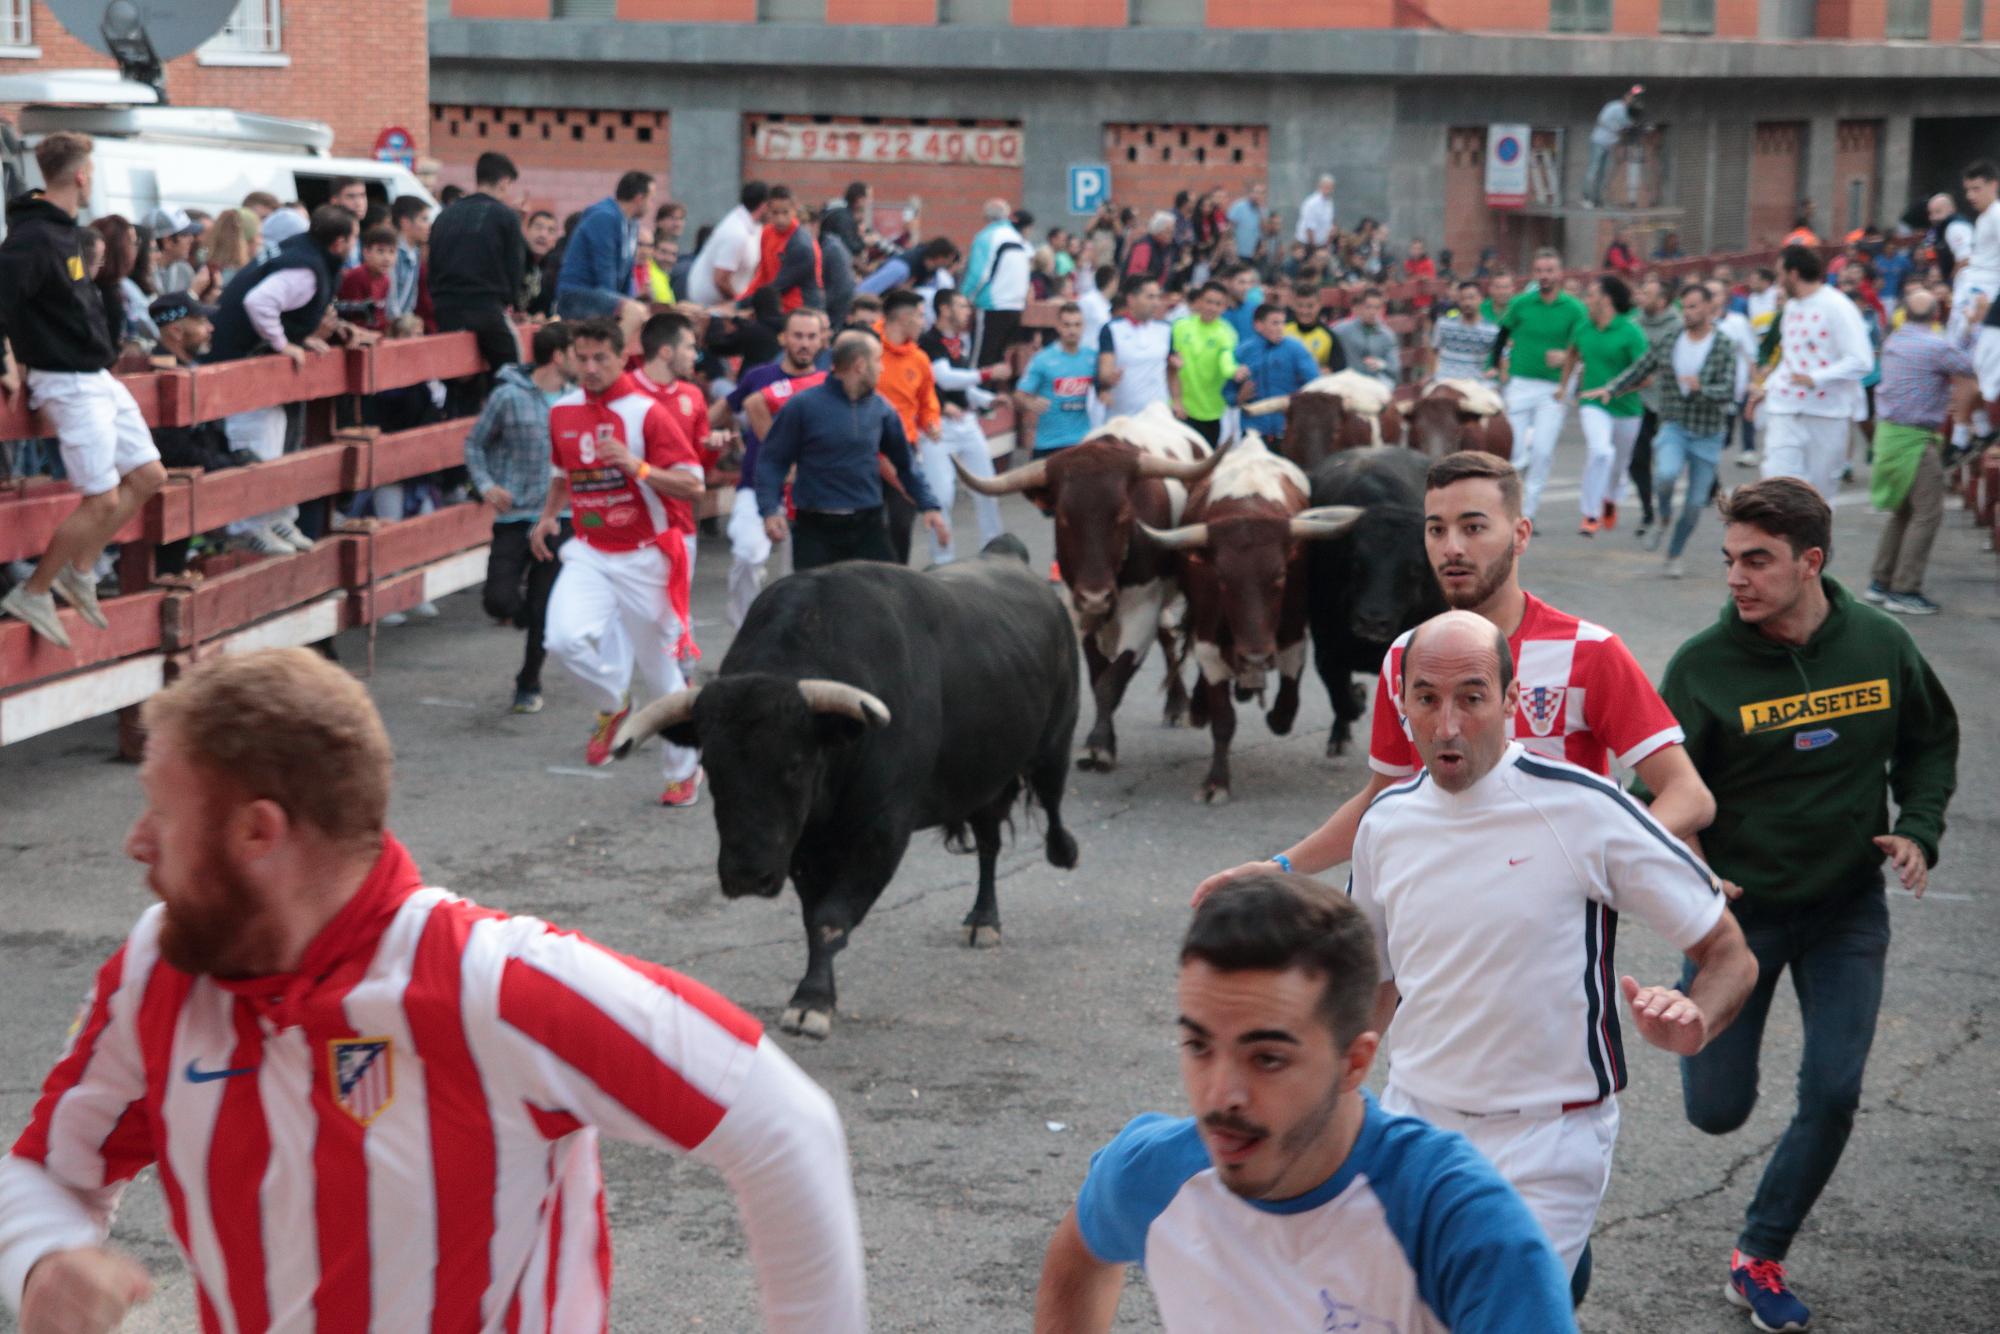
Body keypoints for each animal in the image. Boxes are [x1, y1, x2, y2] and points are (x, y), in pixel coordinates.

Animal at [612, 538, 1080, 1038]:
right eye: (711, 765)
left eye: (796, 763)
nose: (746, 876)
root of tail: (1007, 556)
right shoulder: (804, 847)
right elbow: (812, 916)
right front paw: (812, 995)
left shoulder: (882, 832)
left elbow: (831, 919)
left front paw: (812, 1002)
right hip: (981, 778)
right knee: (989, 842)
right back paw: (982, 919)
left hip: (1053, 746)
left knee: (1051, 807)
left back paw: (1060, 855)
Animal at [954, 401, 1226, 772]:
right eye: (1064, 517)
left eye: (1123, 515)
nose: (1097, 595)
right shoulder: (1079, 608)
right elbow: (1098, 677)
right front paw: (1099, 740)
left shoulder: (1142, 608)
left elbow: (1112, 680)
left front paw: (1099, 745)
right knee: (1168, 634)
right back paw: (1176, 703)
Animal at [1139, 433, 1358, 804]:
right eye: (1222, 579)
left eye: (1281, 576)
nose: (1255, 656)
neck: (1248, 505)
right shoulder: (1209, 639)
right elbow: (1223, 719)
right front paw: (1216, 782)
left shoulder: (1292, 630)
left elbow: (1285, 710)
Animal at [1305, 447, 1446, 758]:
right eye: (1356, 563)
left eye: (1415, 568)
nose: (1371, 621)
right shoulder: (1326, 651)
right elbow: (1343, 697)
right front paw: (1358, 696)